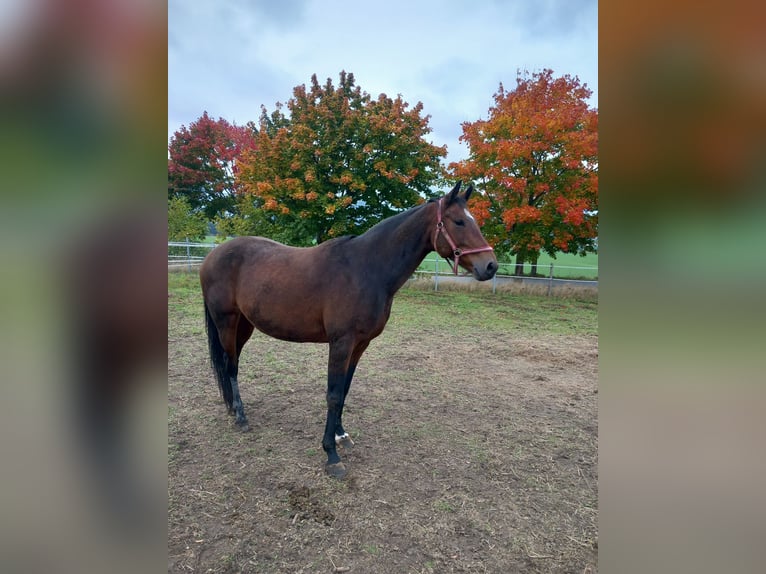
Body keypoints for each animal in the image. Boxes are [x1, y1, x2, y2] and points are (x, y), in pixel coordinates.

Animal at [199, 181, 497, 478]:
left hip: (244, 325)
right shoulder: (341, 342)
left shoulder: (360, 344)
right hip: (227, 322)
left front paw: (341, 435)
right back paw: (240, 416)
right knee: (231, 366)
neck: (366, 269)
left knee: (230, 363)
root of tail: (212, 256)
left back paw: (232, 407)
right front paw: (331, 454)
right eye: (459, 222)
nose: (491, 266)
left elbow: (344, 389)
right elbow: (333, 395)